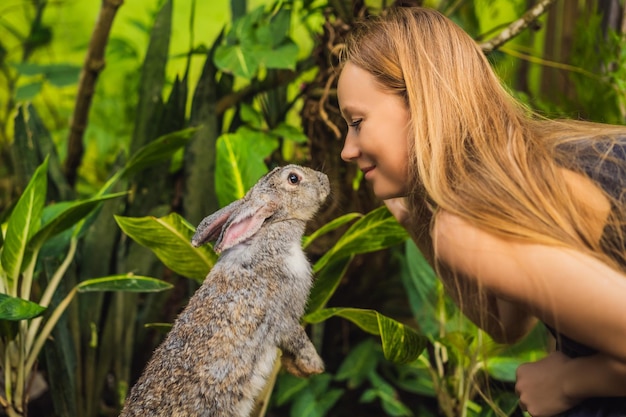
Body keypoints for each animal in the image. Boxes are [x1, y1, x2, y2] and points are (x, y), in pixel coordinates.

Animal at [119, 164, 330, 414]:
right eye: (293, 178)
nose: (325, 180)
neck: (270, 228)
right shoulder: (283, 315)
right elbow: (297, 338)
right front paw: (314, 367)